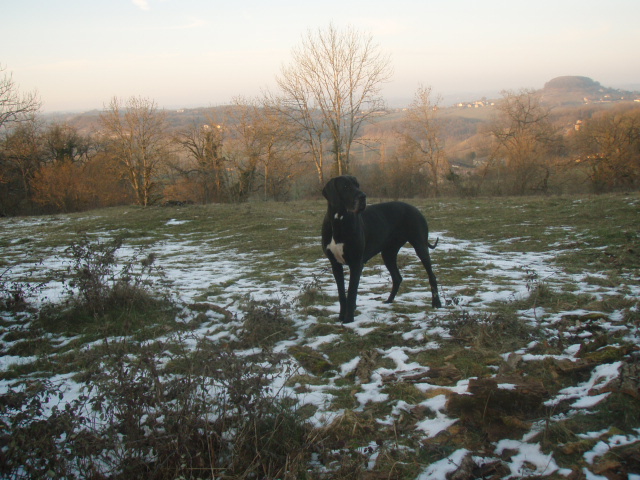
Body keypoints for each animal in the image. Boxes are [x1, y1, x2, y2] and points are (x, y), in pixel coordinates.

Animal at [322, 174, 442, 324]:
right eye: (345, 186)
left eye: (357, 185)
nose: (363, 196)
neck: (339, 221)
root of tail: (415, 208)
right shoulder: (335, 265)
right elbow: (341, 293)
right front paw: (341, 317)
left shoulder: (356, 263)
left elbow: (351, 292)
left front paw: (348, 319)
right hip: (388, 253)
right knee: (397, 278)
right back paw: (389, 301)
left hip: (420, 246)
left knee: (432, 276)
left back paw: (436, 303)